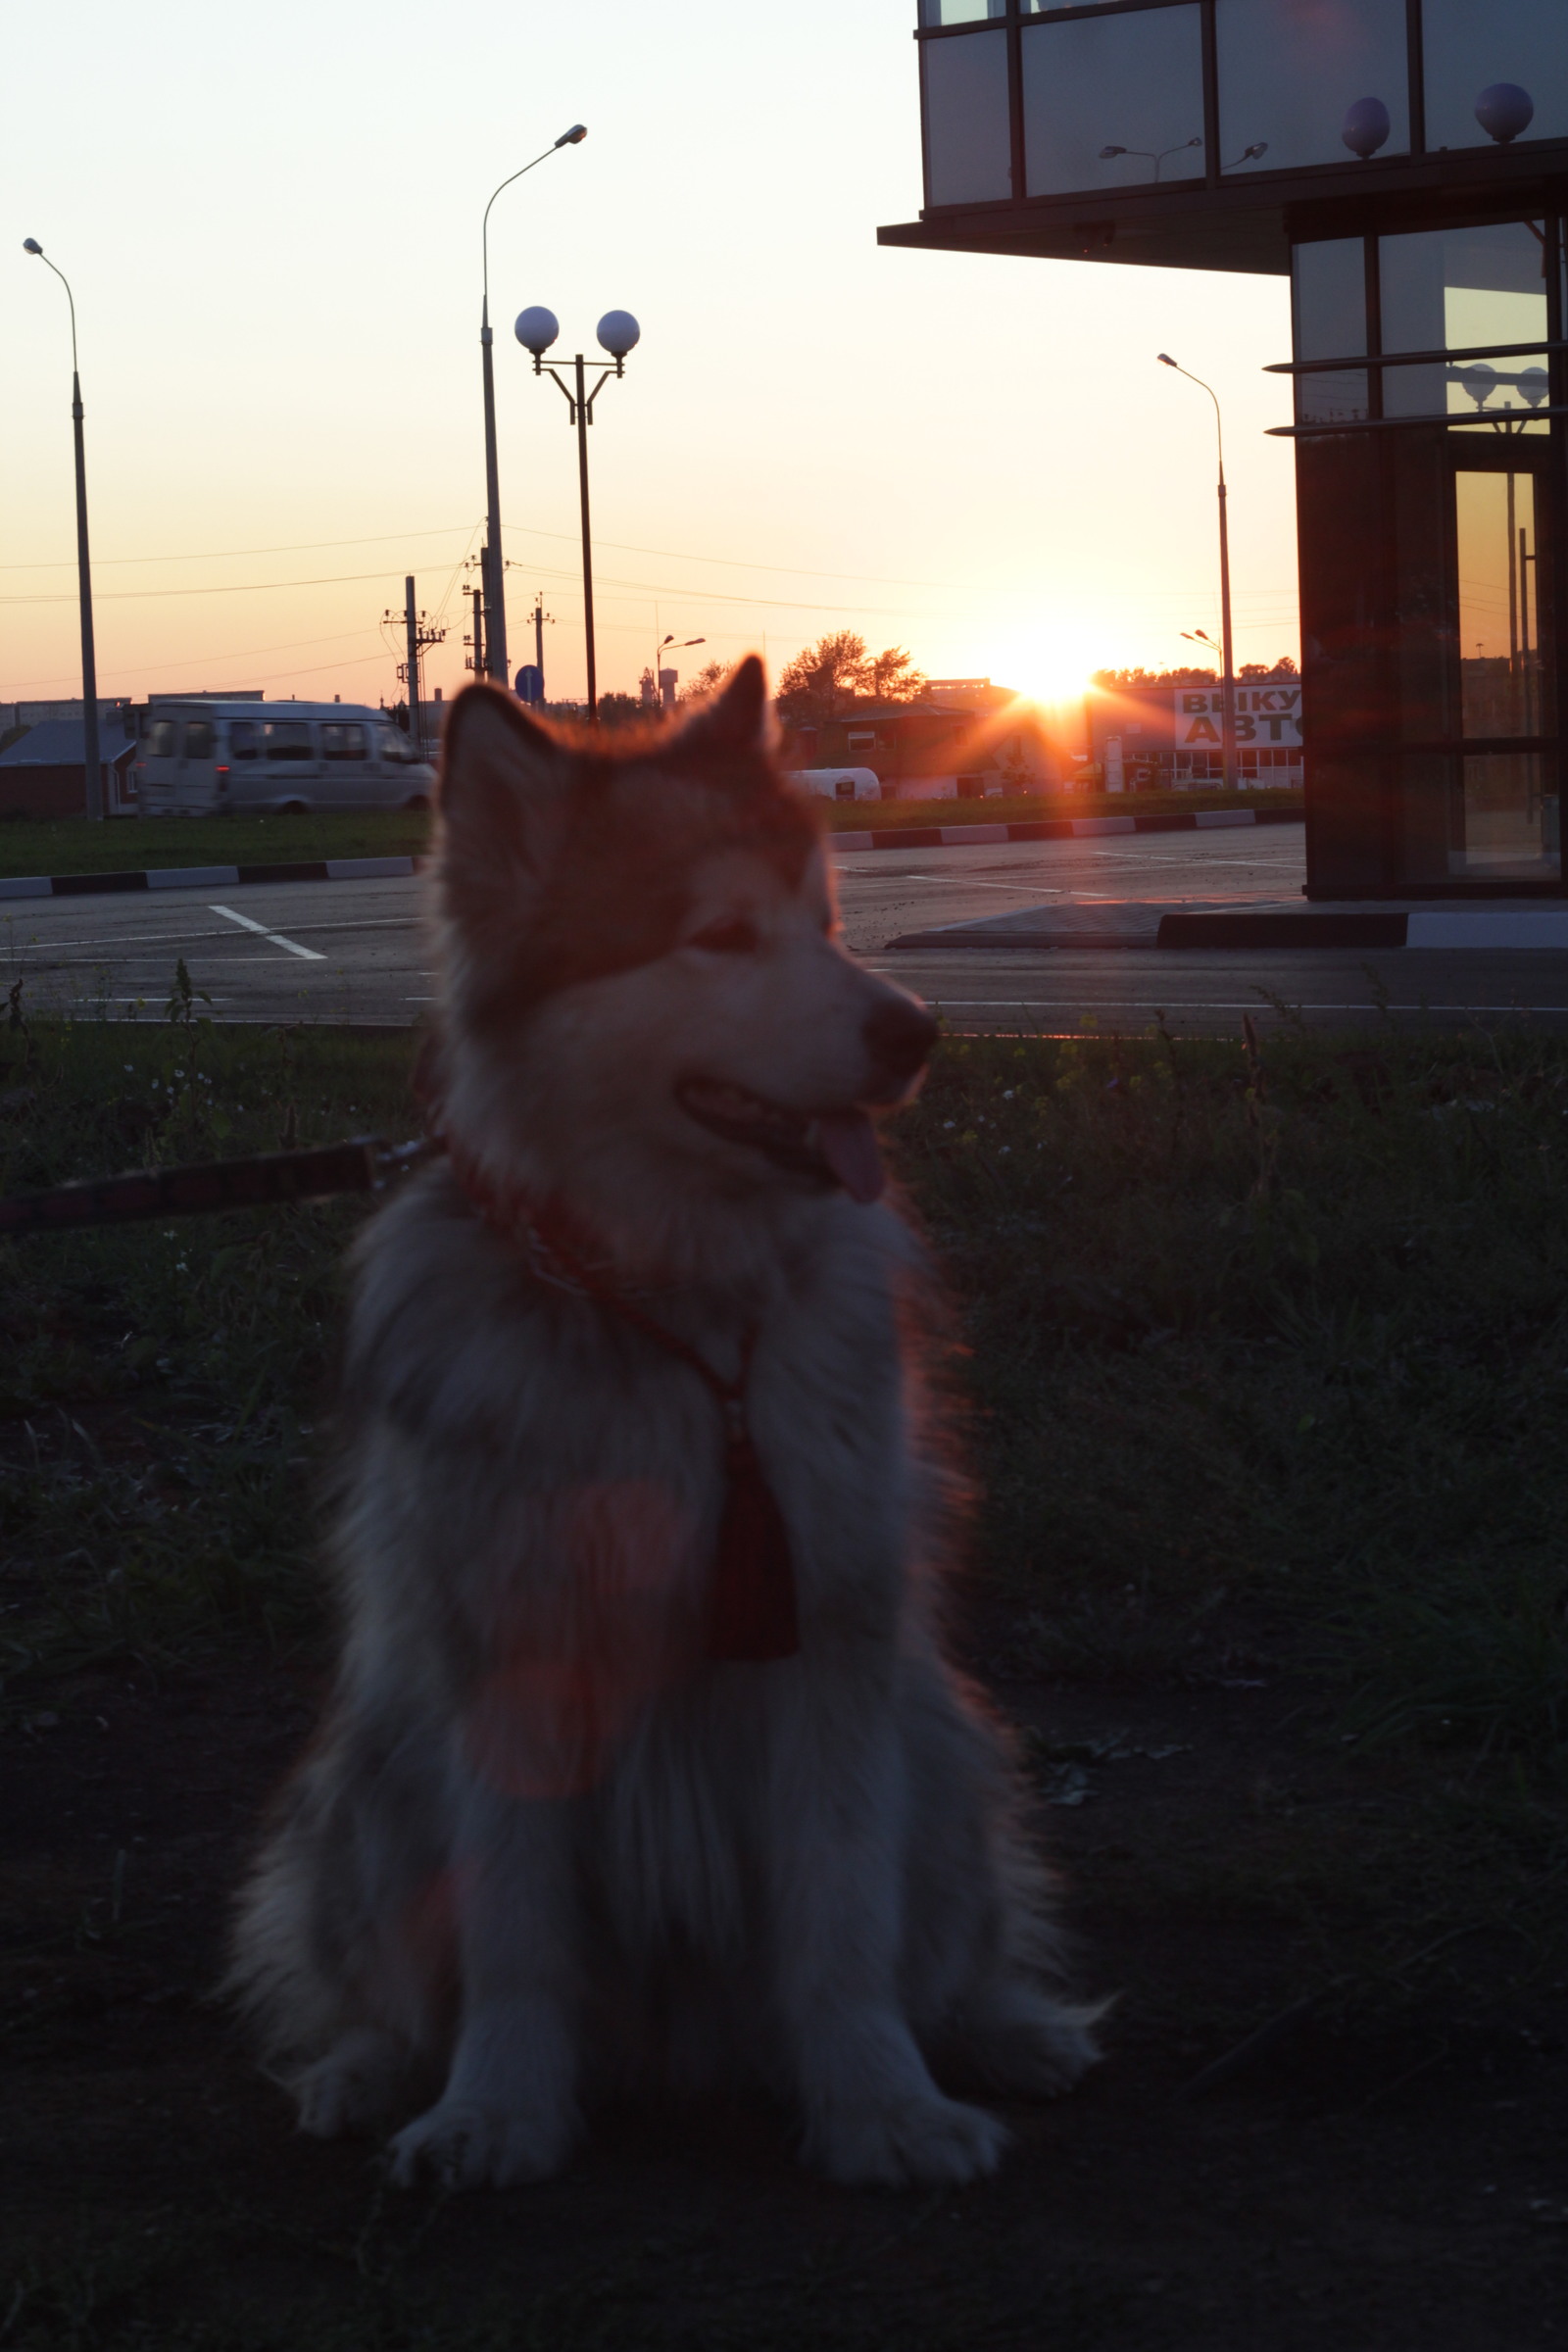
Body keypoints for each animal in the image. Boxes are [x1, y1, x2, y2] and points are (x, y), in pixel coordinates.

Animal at [226, 659, 1100, 2182]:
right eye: (720, 936)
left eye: (825, 925)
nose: (919, 1029)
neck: (670, 1308)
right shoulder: (508, 1651)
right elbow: (513, 1933)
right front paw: (498, 2108)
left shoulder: (833, 1642)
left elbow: (841, 1920)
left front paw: (881, 2105)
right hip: (376, 1776)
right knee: (369, 1976)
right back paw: (363, 2069)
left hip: (938, 1747)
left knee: (954, 1939)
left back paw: (1008, 2029)